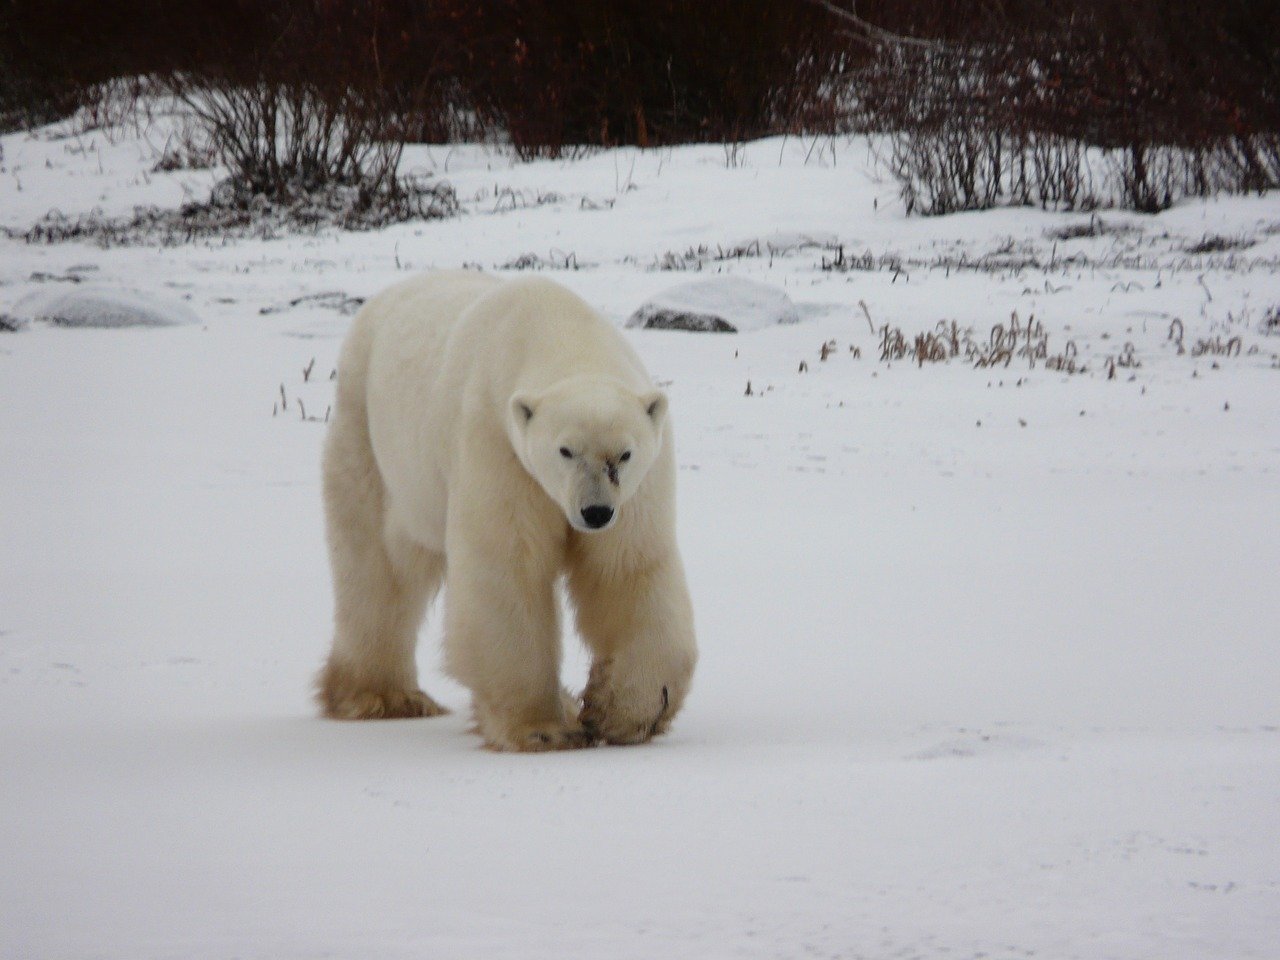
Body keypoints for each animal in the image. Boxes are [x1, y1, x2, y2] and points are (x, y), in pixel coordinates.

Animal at [317, 270, 697, 751]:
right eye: (565, 450)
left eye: (624, 454)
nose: (595, 512)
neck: (558, 328)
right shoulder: (498, 445)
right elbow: (508, 569)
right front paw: (544, 728)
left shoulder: (637, 489)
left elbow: (627, 569)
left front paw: (623, 712)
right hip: (370, 438)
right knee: (376, 567)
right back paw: (382, 697)